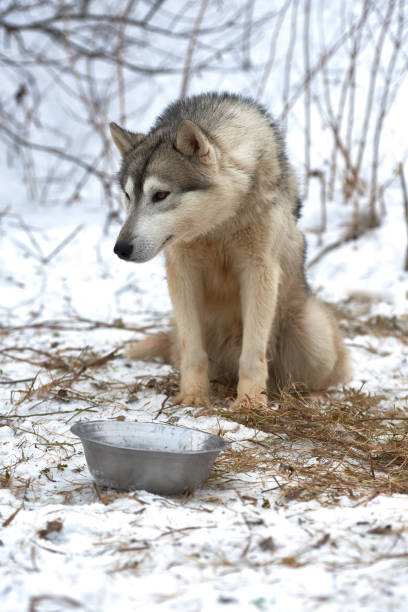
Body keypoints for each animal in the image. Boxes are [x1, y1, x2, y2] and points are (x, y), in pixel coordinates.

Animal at [109, 92, 350, 406]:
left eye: (160, 195)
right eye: (128, 196)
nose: (121, 248)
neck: (217, 226)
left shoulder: (258, 270)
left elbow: (253, 355)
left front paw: (250, 404)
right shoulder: (182, 272)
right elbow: (193, 352)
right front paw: (193, 397)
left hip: (313, 336)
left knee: (319, 378)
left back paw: (314, 397)